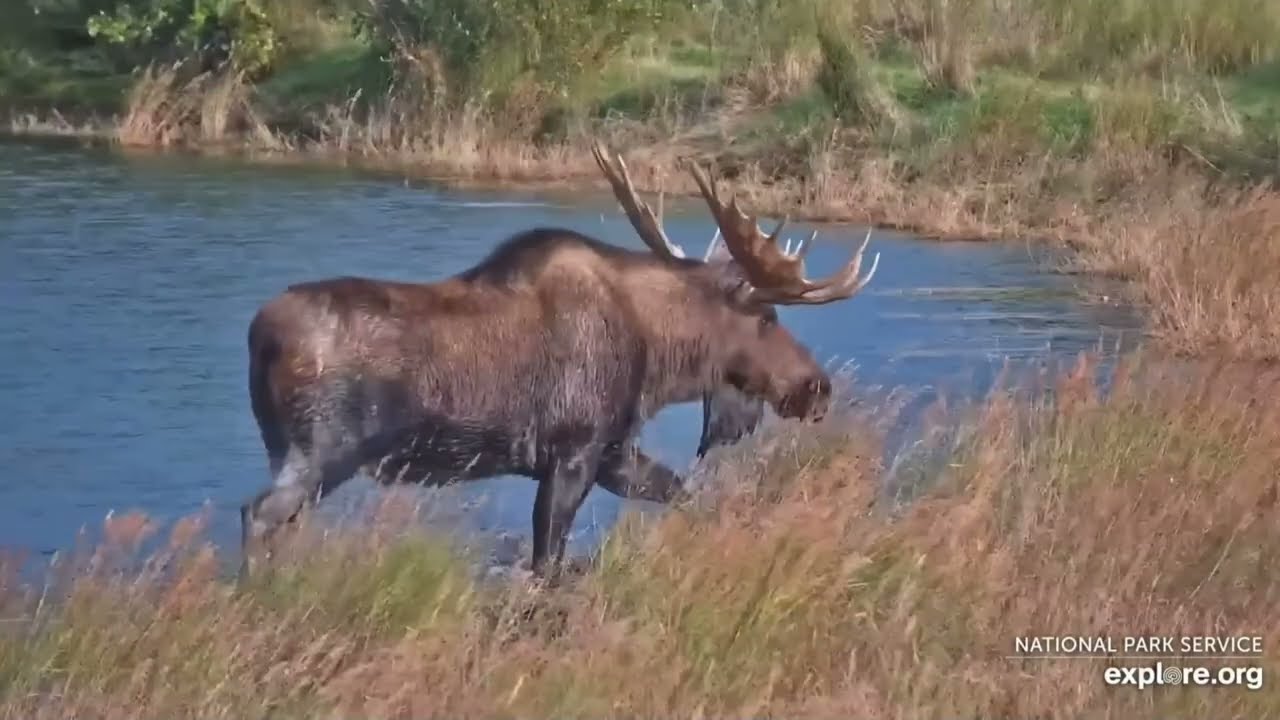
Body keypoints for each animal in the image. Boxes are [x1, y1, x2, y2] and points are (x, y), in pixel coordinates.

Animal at [239, 142, 880, 578]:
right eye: (768, 318)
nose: (818, 387)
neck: (657, 356)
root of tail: (257, 336)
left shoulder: (615, 452)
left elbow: (685, 495)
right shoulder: (574, 451)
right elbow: (547, 562)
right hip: (321, 452)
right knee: (257, 514)